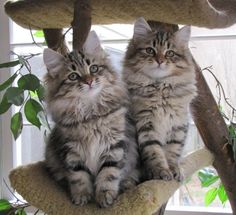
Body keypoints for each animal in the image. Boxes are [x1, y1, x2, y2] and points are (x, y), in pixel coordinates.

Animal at [43, 31, 140, 207]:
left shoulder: (114, 146)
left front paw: (105, 196)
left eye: (93, 68)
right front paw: (82, 197)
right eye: (73, 76)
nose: (89, 81)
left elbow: (108, 174)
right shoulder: (71, 151)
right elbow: (78, 176)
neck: (90, 114)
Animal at [122, 17, 196, 181]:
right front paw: (160, 171)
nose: (160, 60)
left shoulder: (178, 124)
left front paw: (174, 169)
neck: (160, 88)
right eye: (150, 50)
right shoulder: (146, 124)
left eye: (170, 53)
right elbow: (154, 151)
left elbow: (173, 150)